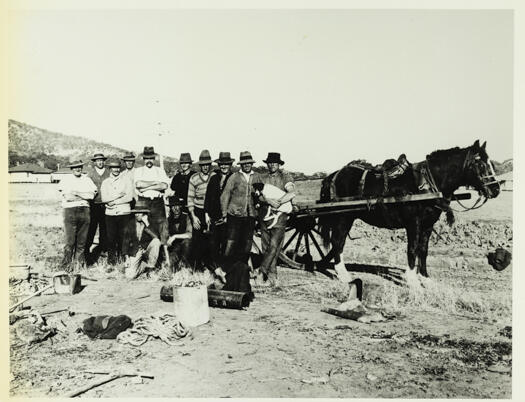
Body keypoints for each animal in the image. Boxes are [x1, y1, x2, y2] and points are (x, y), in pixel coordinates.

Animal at [318, 141, 502, 276]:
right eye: (480, 164)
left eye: (490, 163)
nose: (496, 189)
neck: (428, 183)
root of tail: (333, 175)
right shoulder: (414, 223)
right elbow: (412, 249)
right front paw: (412, 281)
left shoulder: (428, 224)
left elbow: (423, 250)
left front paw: (425, 278)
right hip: (343, 217)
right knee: (337, 241)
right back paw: (343, 275)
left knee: (338, 243)